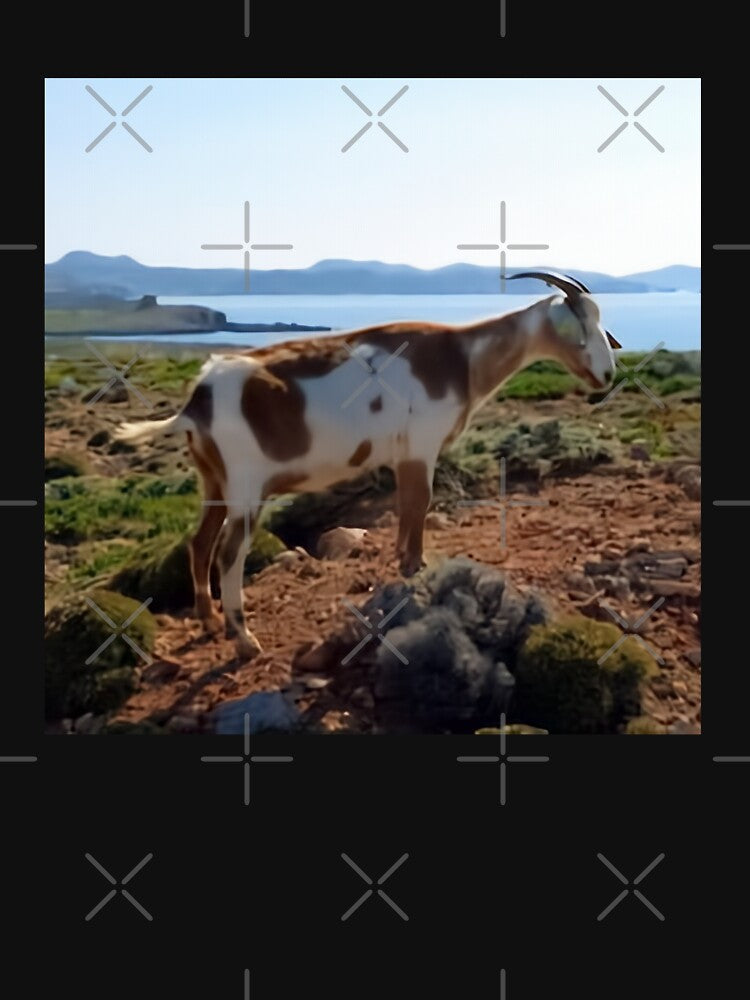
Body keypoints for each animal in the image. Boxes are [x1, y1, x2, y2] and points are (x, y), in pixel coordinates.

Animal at [117, 271, 621, 660]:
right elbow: (420, 504)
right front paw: (415, 568)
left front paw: (402, 560)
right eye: (580, 323)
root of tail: (197, 401)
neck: (462, 357)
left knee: (199, 542)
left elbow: (405, 507)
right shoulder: (422, 446)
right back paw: (243, 640)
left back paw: (207, 621)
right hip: (245, 484)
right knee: (227, 553)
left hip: (214, 479)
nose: (607, 374)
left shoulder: (401, 456)